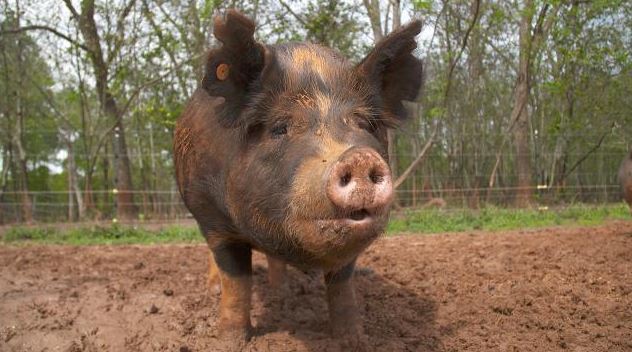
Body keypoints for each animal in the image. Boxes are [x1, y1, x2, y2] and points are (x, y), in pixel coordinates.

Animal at [173, 8, 422, 350]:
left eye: (363, 123)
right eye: (280, 127)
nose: (357, 157)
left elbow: (342, 287)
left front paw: (353, 340)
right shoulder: (211, 216)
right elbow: (236, 282)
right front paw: (229, 341)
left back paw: (284, 292)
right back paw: (215, 290)